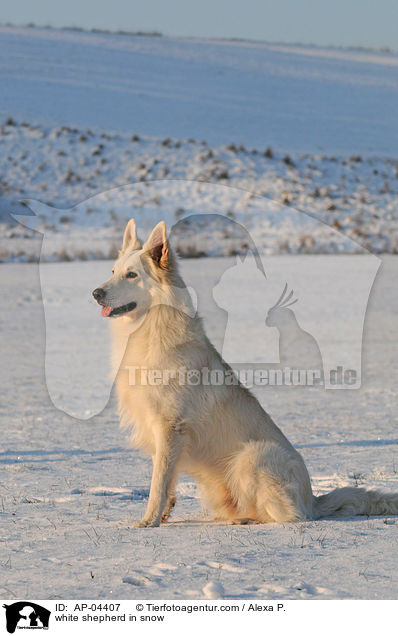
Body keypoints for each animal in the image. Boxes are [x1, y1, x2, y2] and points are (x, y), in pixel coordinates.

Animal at [92, 219, 398, 528]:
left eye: (132, 275)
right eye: (113, 272)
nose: (96, 293)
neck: (151, 326)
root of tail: (313, 500)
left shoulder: (170, 428)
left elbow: (158, 483)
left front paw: (149, 521)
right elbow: (168, 482)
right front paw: (163, 516)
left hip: (252, 455)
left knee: (291, 516)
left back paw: (247, 521)